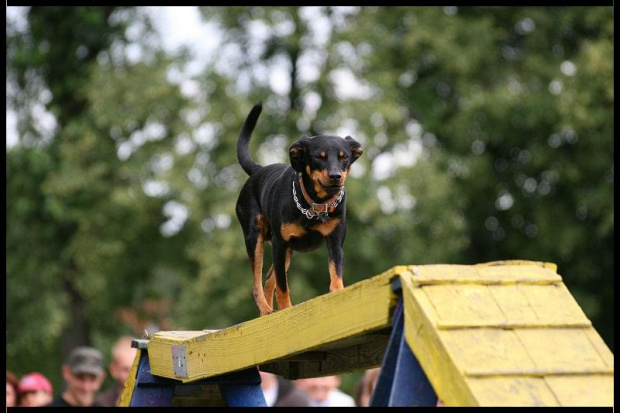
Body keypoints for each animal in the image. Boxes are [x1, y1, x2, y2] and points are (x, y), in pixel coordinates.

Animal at [236, 102, 364, 316]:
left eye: (344, 157)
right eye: (318, 157)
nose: (336, 176)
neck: (315, 204)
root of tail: (258, 171)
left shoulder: (335, 242)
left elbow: (336, 274)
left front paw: (338, 294)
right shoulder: (280, 244)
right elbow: (282, 287)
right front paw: (287, 310)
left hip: (285, 251)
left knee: (269, 278)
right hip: (255, 238)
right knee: (257, 284)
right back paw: (266, 310)